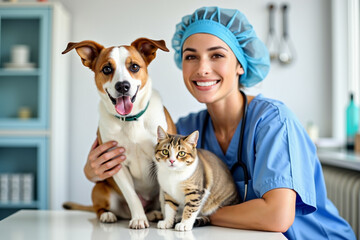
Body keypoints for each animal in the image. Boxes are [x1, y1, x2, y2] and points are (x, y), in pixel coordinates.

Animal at [62, 37, 177, 229]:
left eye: (135, 67)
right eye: (107, 69)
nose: (123, 86)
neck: (131, 120)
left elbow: (164, 196)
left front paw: (167, 220)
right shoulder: (116, 163)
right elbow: (132, 196)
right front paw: (138, 219)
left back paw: (154, 213)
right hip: (99, 188)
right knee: (100, 208)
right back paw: (108, 215)